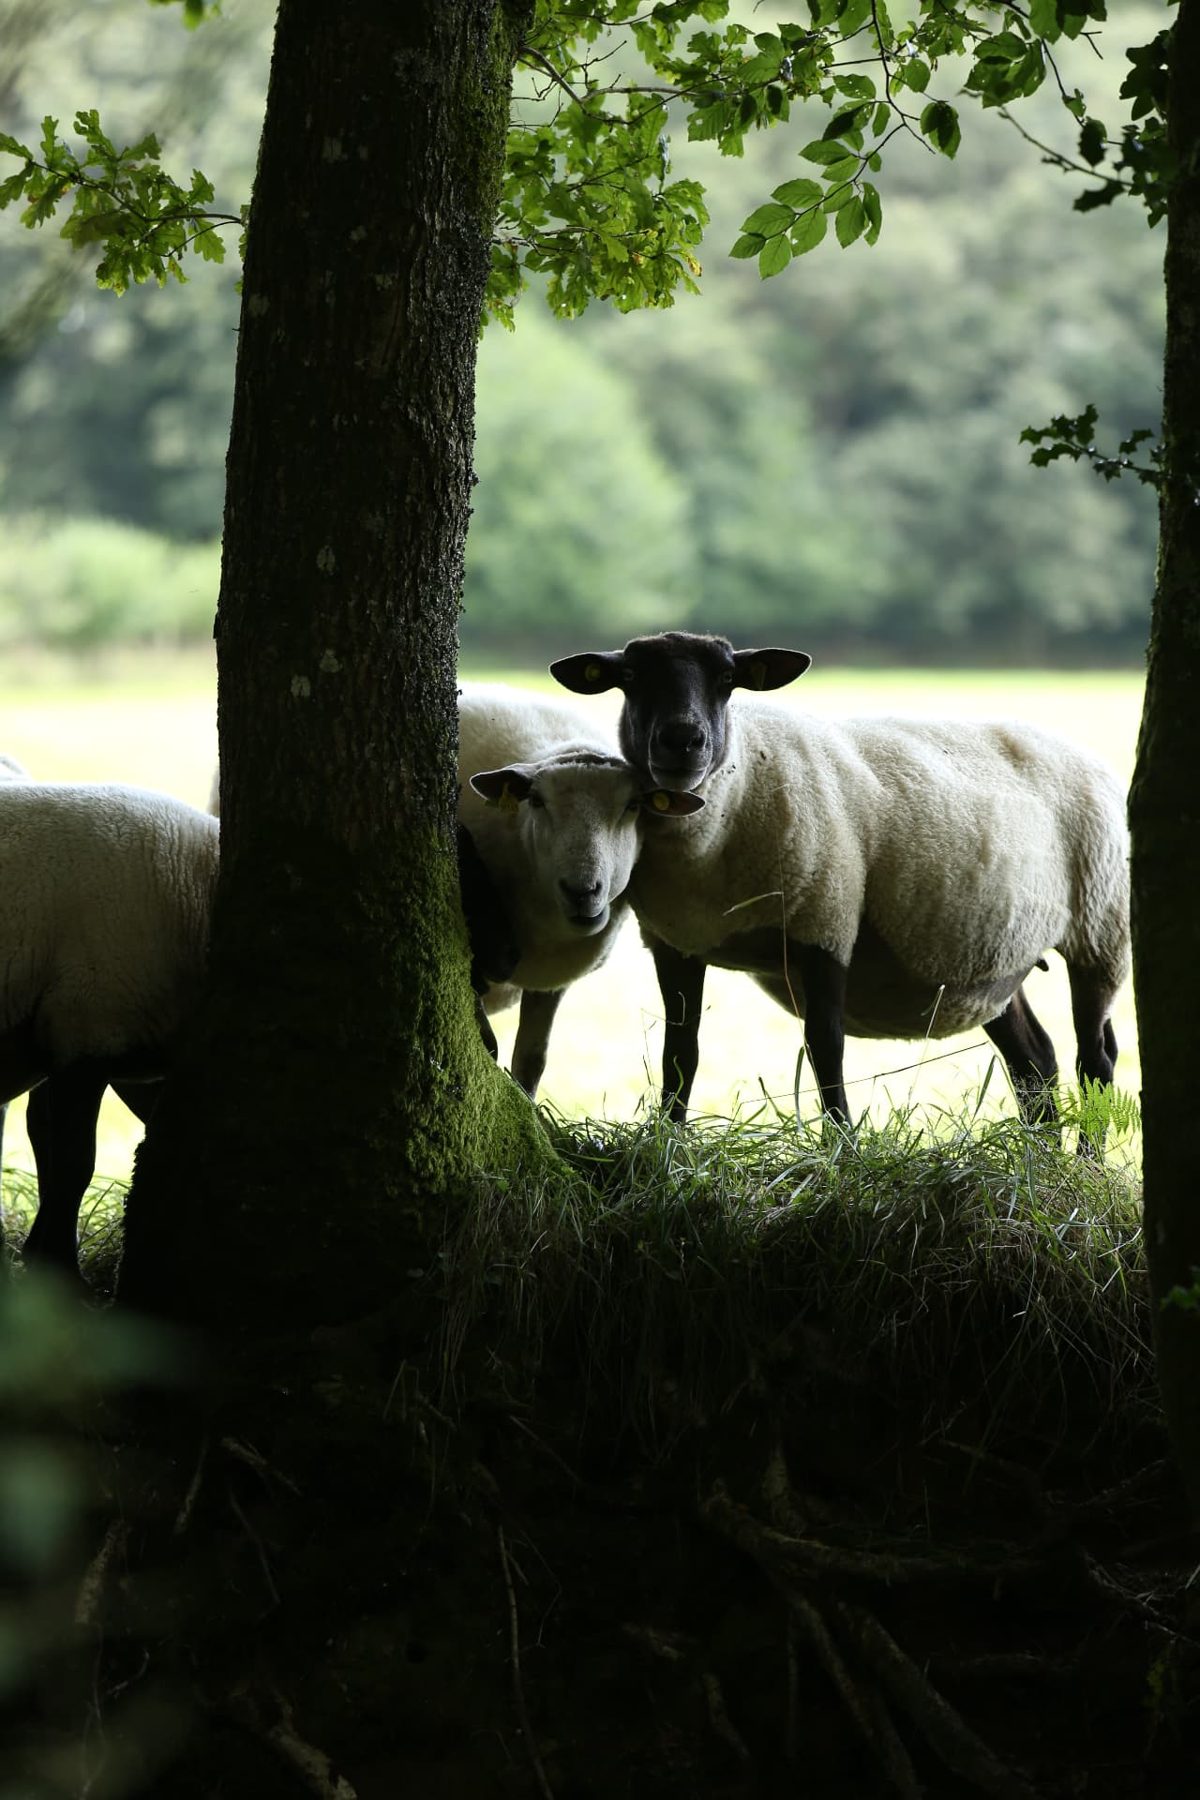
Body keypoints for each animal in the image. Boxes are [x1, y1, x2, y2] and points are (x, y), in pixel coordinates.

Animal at [459, 683, 703, 1095]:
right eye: (536, 801)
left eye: (634, 805)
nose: (582, 891)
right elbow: (487, 1043)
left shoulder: (552, 979)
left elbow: (531, 1062)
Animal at [551, 631, 1130, 1145]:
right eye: (630, 677)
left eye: (727, 679)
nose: (682, 741)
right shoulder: (676, 942)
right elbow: (681, 1052)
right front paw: (667, 1139)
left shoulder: (825, 919)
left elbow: (825, 1048)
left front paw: (842, 1145)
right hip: (991, 962)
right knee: (1036, 1060)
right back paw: (1042, 1161)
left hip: (1100, 930)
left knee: (1096, 1056)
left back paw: (1087, 1162)